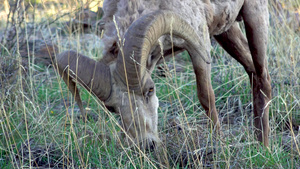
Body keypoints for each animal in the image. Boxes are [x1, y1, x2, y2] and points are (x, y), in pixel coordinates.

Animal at [54, 0, 272, 148]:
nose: (146, 144)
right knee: (253, 72)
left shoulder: (199, 46)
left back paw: (264, 146)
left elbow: (206, 99)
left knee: (263, 79)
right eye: (112, 108)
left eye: (150, 90)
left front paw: (218, 144)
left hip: (254, 14)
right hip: (227, 30)